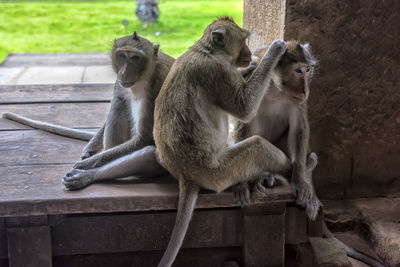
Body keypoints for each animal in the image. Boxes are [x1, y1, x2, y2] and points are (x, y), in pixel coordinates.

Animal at [1, 32, 173, 191]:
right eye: (122, 56)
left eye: (135, 58)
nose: (124, 72)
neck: (145, 76)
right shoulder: (119, 82)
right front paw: (89, 149)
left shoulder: (158, 86)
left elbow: (144, 139)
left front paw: (86, 163)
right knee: (119, 102)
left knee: (149, 152)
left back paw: (88, 174)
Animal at [153, 17, 290, 267]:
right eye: (243, 41)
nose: (248, 53)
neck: (206, 51)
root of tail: (185, 175)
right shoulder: (217, 71)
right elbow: (244, 108)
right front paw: (274, 50)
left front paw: (250, 66)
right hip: (218, 172)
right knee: (257, 146)